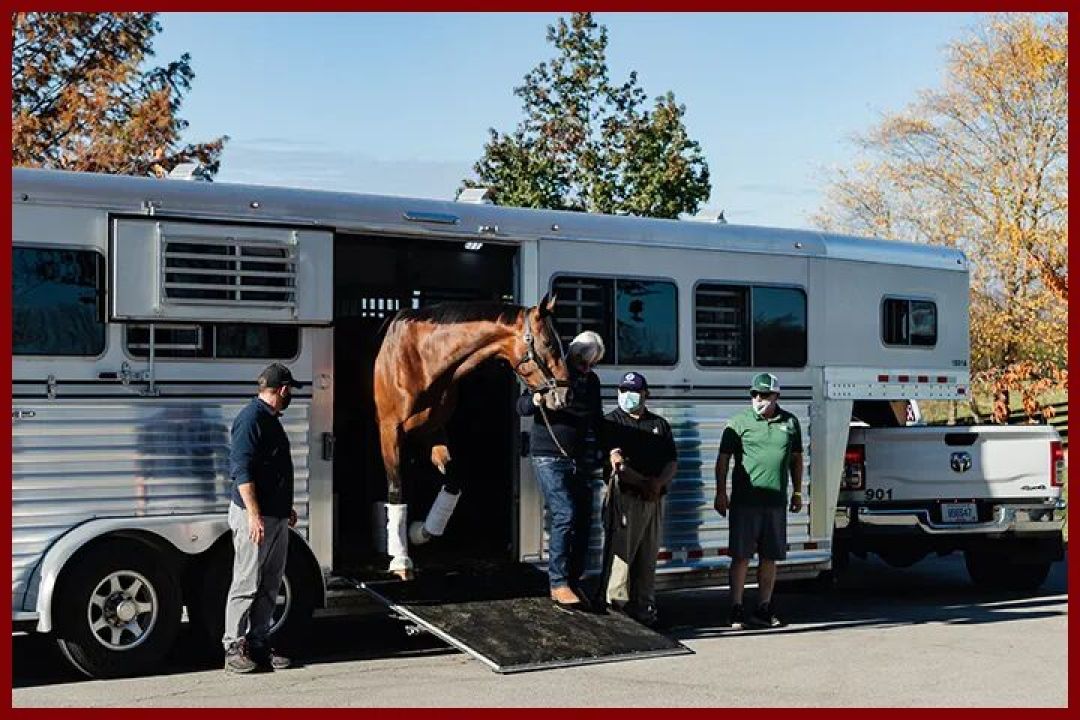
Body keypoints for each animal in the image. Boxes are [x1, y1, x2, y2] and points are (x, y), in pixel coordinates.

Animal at [373, 294, 570, 579]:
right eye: (548, 343)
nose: (565, 396)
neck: (418, 358)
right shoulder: (390, 432)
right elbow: (397, 489)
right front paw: (401, 561)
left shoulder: (433, 428)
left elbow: (453, 483)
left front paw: (420, 532)